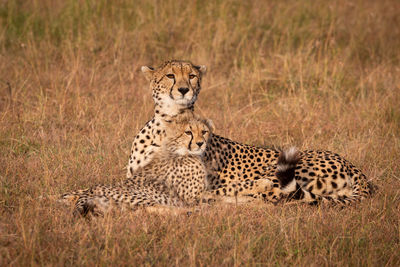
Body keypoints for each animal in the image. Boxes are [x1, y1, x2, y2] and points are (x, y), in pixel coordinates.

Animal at [60, 113, 212, 218]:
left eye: (204, 132)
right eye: (188, 132)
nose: (200, 143)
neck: (179, 150)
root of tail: (90, 190)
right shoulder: (192, 197)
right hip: (141, 197)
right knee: (153, 208)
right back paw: (194, 211)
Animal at [126, 60, 374, 205]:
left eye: (192, 76)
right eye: (170, 75)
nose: (184, 89)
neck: (171, 123)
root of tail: (354, 166)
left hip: (285, 167)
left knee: (274, 194)